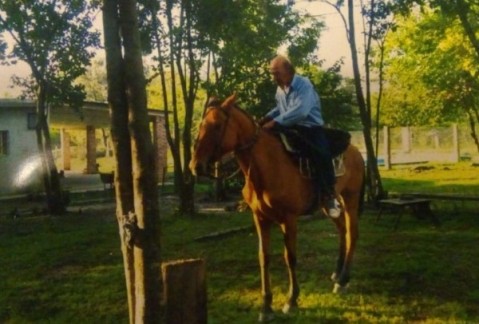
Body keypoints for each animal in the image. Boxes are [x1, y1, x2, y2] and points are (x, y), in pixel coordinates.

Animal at [189, 93, 366, 322]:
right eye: (202, 124)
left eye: (218, 125)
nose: (196, 166)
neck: (267, 166)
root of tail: (356, 151)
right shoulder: (260, 218)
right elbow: (264, 257)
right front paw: (266, 307)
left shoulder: (288, 219)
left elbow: (289, 257)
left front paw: (291, 301)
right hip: (330, 205)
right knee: (343, 230)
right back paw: (337, 273)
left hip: (351, 197)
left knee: (352, 233)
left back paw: (343, 280)